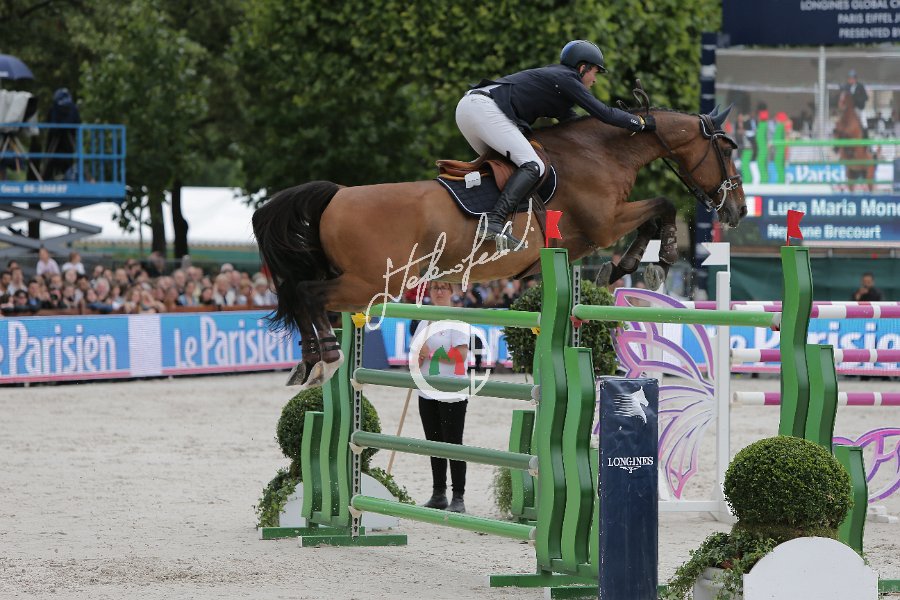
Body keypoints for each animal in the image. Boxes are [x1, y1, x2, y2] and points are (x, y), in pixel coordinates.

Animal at [252, 104, 747, 389]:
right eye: (727, 149)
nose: (738, 209)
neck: (600, 151)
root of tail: (336, 195)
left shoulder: (589, 238)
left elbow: (653, 213)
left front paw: (628, 266)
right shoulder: (604, 223)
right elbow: (662, 204)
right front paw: (656, 257)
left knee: (303, 297)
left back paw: (307, 363)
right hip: (373, 283)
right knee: (308, 294)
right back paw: (325, 359)